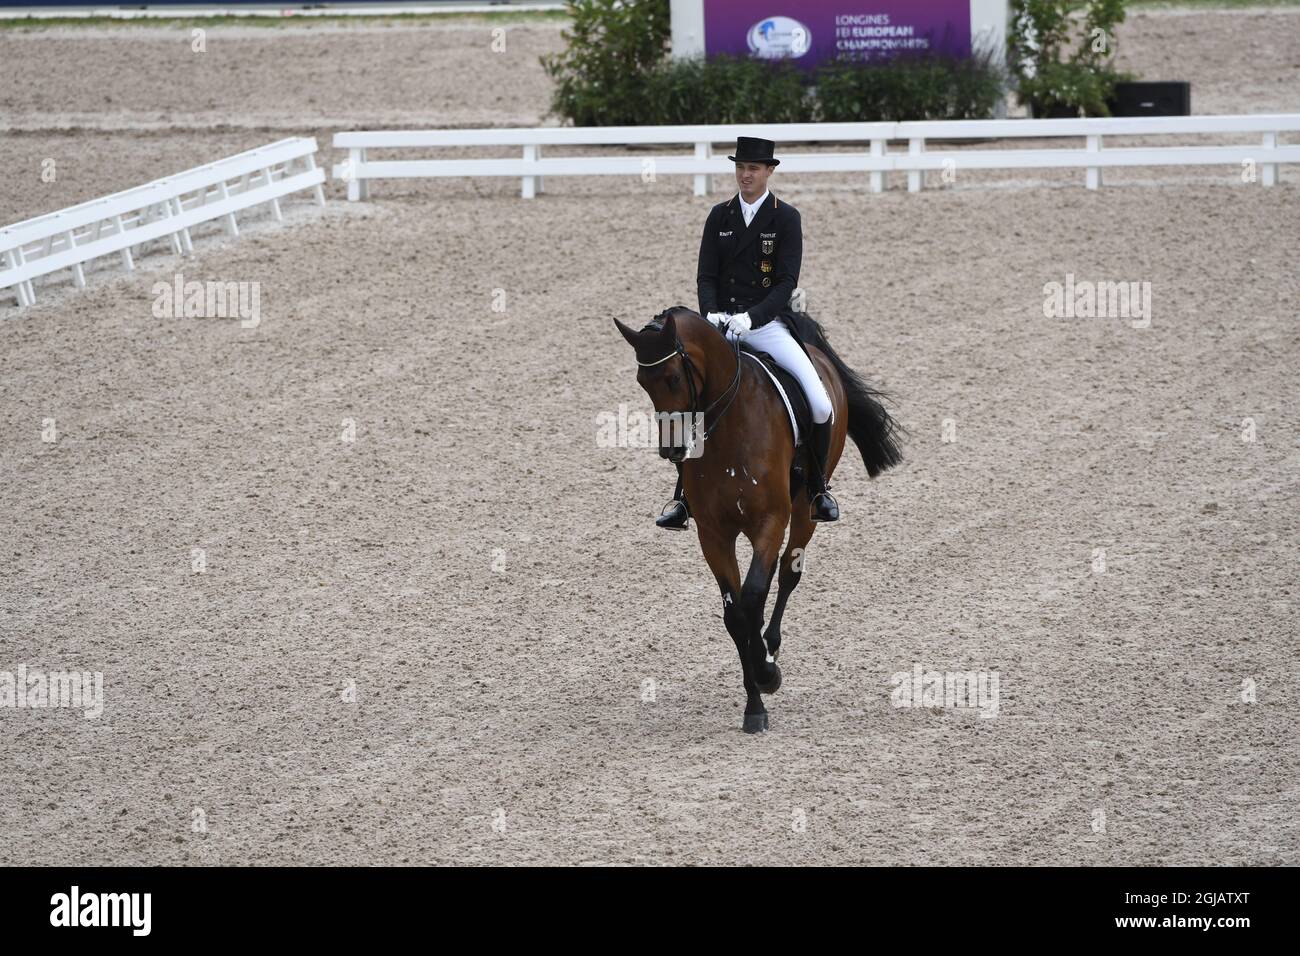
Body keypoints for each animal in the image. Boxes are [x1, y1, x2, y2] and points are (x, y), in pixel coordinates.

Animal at [611, 306, 899, 733]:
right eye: (642, 382)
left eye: (674, 377)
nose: (672, 450)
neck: (730, 428)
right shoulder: (713, 535)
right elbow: (736, 614)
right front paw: (754, 702)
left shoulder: (771, 522)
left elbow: (753, 596)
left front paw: (766, 674)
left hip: (804, 511)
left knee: (786, 575)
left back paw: (771, 646)